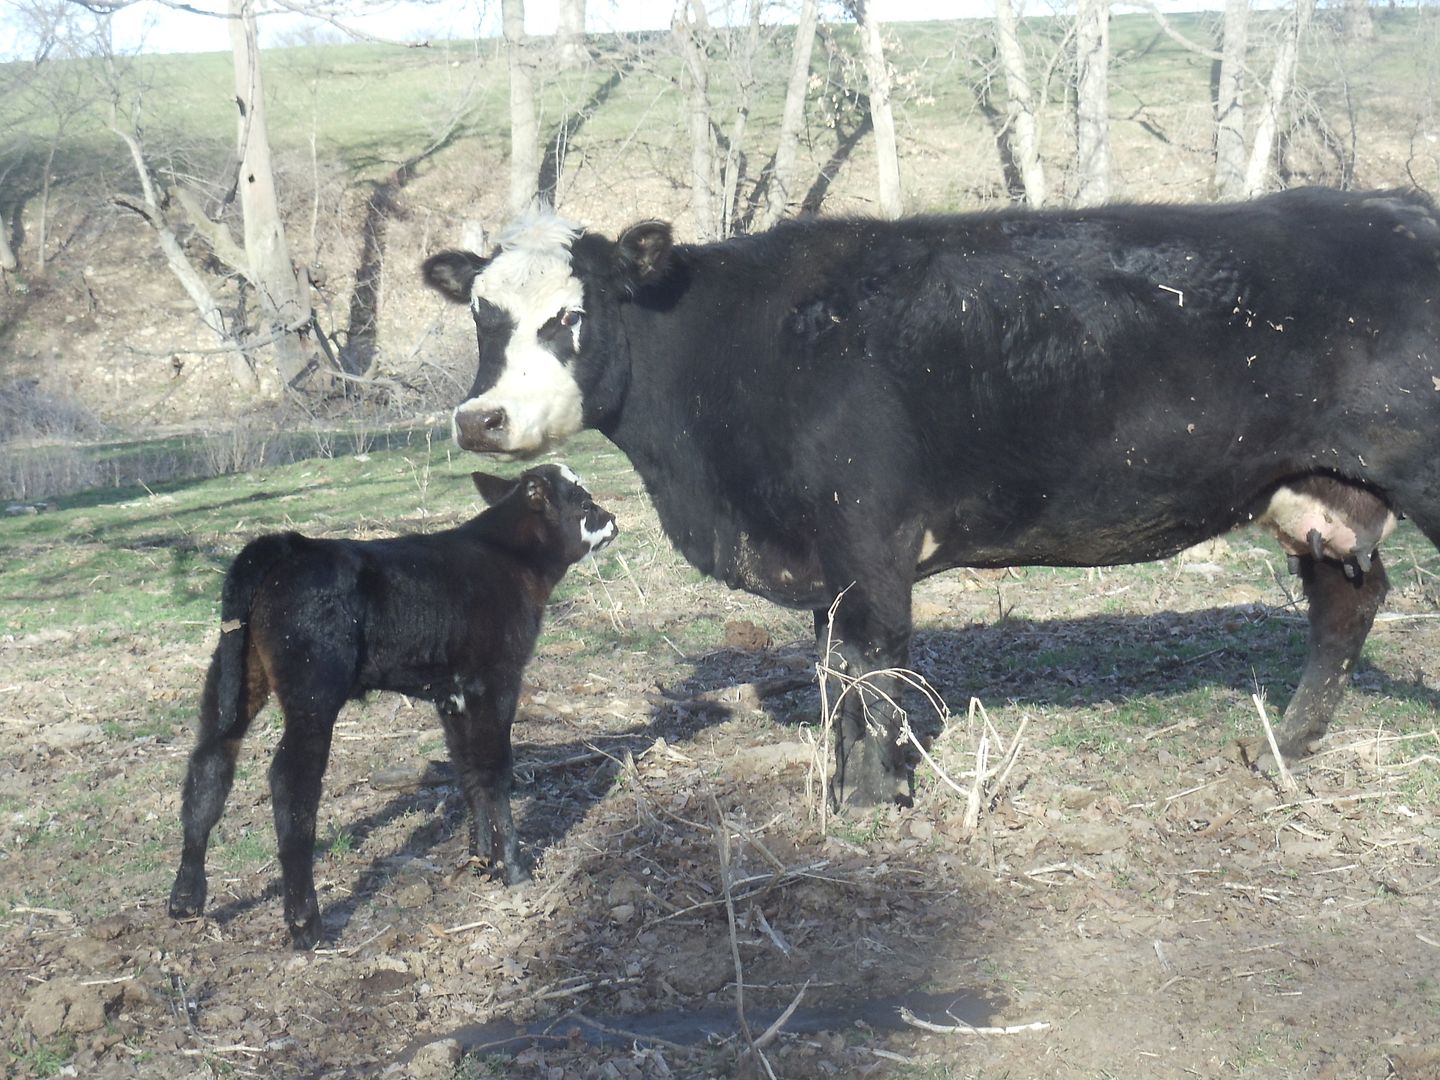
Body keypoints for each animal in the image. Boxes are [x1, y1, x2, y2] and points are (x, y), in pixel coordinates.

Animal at [168, 463, 619, 944]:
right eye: (584, 502)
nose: (613, 519)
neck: (508, 559)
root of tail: (291, 544)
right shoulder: (496, 680)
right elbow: (495, 768)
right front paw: (512, 868)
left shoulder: (452, 693)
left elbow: (468, 771)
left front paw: (481, 861)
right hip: (312, 692)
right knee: (290, 782)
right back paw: (305, 923)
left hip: (232, 675)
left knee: (209, 763)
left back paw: (186, 900)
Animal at [423, 190, 1440, 806]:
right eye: (480, 314)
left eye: (572, 315)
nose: (481, 418)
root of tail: (1397, 205)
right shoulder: (825, 560)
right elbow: (835, 674)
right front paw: (844, 787)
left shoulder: (869, 538)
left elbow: (875, 670)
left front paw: (877, 800)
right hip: (1324, 489)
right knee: (1346, 603)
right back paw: (1283, 748)